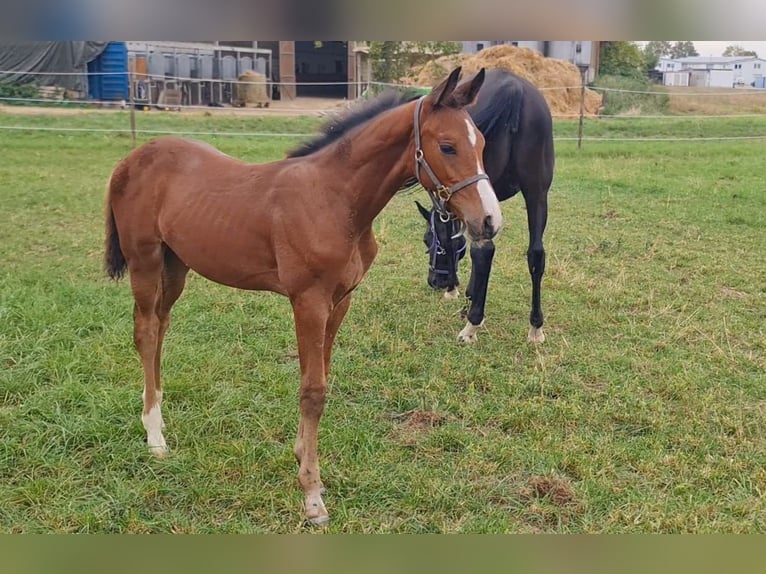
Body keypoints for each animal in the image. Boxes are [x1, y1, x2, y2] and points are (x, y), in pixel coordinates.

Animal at [103, 67, 504, 528]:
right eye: (447, 146)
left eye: (483, 144)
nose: (489, 221)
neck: (335, 199)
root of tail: (131, 159)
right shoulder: (308, 301)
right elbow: (313, 391)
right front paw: (312, 495)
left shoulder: (340, 300)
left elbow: (322, 380)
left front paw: (306, 466)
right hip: (145, 262)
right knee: (146, 330)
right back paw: (154, 435)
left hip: (176, 266)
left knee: (160, 327)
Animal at [416, 69, 556, 344]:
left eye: (427, 240)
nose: (435, 281)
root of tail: (514, 88)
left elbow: (452, 241)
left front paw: (457, 291)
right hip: (537, 193)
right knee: (536, 253)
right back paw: (535, 327)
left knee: (484, 252)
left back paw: (472, 324)